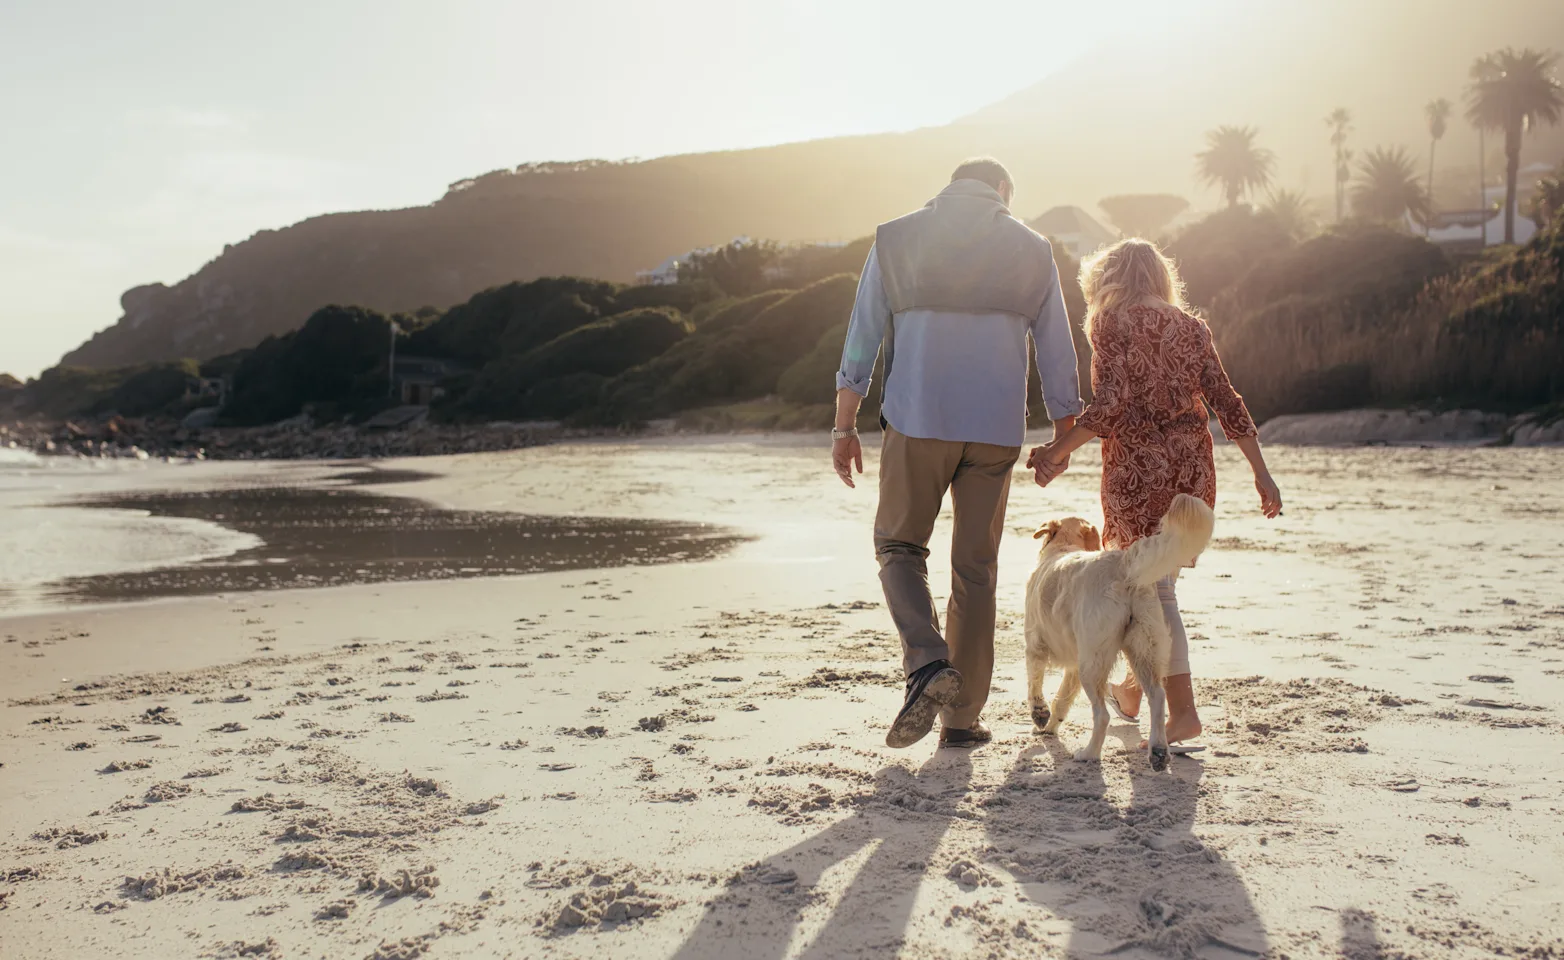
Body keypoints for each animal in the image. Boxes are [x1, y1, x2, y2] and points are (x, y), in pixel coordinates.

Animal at [1025, 497, 1207, 775]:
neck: (1062, 548)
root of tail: (1122, 563)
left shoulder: (1034, 644)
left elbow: (1035, 683)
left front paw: (1040, 715)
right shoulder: (1073, 666)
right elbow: (1061, 699)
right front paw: (1050, 727)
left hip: (1093, 661)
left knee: (1102, 715)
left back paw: (1088, 754)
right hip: (1144, 648)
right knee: (1157, 697)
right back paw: (1158, 752)